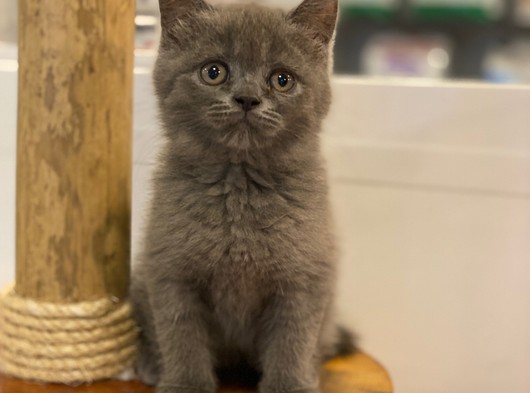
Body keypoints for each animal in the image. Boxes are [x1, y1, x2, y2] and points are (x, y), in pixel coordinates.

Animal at [131, 0, 354, 392]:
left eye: (282, 79)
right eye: (214, 72)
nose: (247, 98)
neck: (239, 188)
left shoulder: (307, 276)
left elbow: (293, 339)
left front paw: (290, 385)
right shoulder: (168, 269)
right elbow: (180, 334)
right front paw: (186, 383)